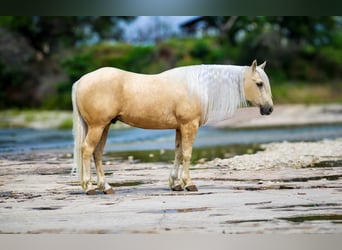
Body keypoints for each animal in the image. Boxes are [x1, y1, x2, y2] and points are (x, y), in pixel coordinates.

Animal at [71, 59, 272, 194]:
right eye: (259, 83)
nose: (269, 109)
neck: (198, 88)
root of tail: (81, 81)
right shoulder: (189, 125)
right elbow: (187, 154)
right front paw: (188, 183)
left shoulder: (179, 127)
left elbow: (178, 153)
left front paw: (175, 184)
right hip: (97, 127)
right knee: (87, 150)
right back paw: (89, 187)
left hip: (104, 127)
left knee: (97, 153)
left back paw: (106, 187)